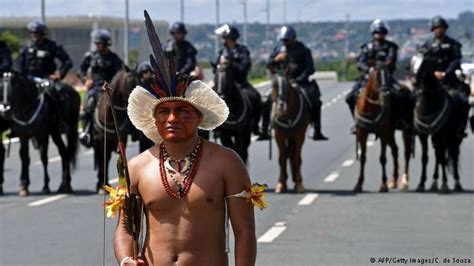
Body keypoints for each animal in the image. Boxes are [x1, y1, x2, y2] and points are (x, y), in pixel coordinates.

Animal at [354, 65, 412, 193]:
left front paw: (383, 184)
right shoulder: (362, 133)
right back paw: (394, 181)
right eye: (377, 77)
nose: (386, 95)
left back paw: (404, 182)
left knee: (406, 153)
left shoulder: (383, 133)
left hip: (405, 130)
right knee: (395, 150)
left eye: (389, 76)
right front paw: (359, 184)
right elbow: (363, 157)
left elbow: (383, 158)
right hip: (390, 133)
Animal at [410, 53, 464, 193]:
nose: (415, 83)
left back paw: (457, 182)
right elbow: (425, 158)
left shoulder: (442, 133)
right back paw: (434, 182)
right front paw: (421, 183)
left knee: (453, 154)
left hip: (453, 136)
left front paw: (444, 184)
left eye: (424, 64)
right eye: (413, 63)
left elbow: (442, 157)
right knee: (437, 156)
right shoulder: (423, 135)